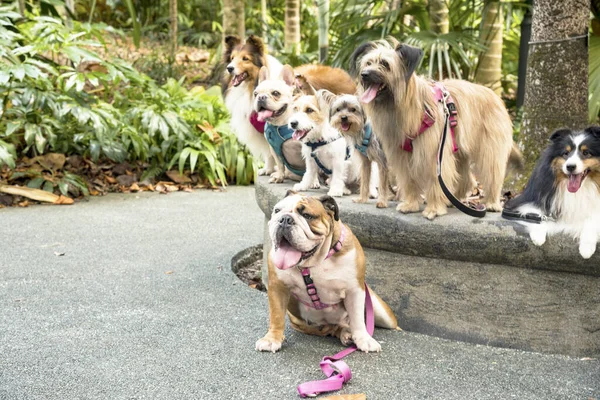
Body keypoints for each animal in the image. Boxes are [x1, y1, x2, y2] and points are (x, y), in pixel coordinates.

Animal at [254, 193, 398, 354]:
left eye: (307, 215)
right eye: (277, 210)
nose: (285, 219)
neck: (314, 262)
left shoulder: (354, 290)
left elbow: (357, 318)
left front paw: (364, 339)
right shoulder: (277, 287)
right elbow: (277, 315)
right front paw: (272, 339)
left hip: (383, 314)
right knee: (334, 328)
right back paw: (345, 333)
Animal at [350, 39, 524, 220]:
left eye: (385, 64)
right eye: (368, 63)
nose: (364, 74)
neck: (408, 106)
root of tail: (496, 96)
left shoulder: (433, 152)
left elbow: (435, 180)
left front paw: (433, 209)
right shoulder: (402, 155)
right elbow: (408, 179)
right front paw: (411, 204)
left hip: (489, 149)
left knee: (492, 174)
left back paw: (491, 202)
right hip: (458, 150)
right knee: (466, 179)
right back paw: (454, 199)